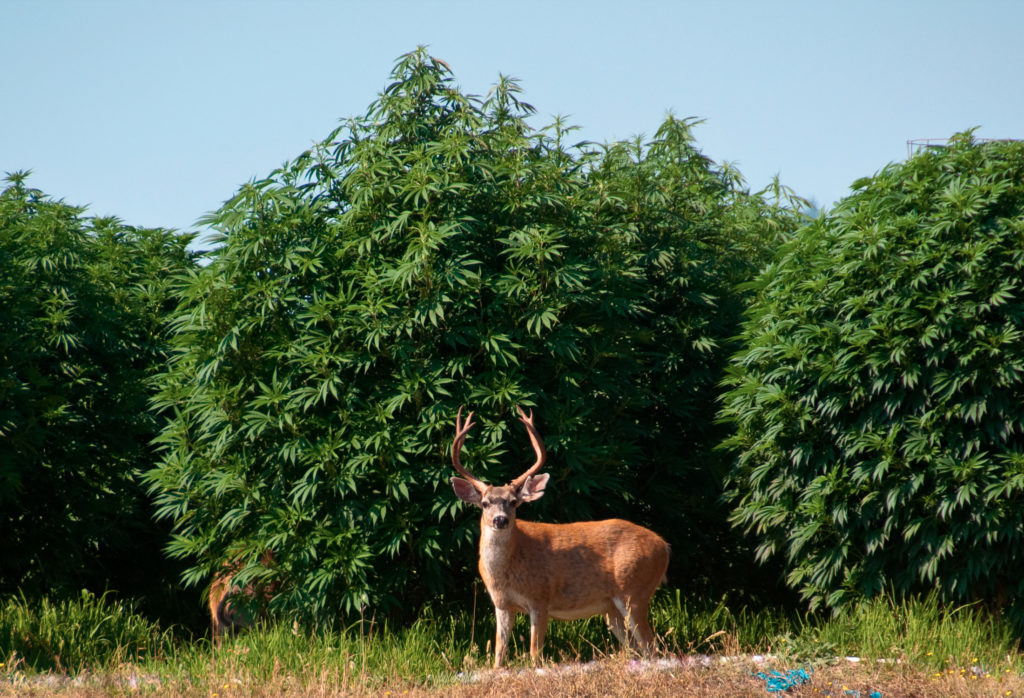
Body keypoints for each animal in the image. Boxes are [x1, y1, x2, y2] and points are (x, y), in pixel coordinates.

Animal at [448, 405, 671, 667]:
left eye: (513, 502)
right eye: (484, 503)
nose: (500, 520)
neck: (508, 567)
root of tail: (664, 546)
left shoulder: (540, 598)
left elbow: (535, 653)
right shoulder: (502, 604)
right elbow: (499, 653)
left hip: (634, 590)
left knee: (652, 646)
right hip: (611, 608)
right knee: (637, 648)